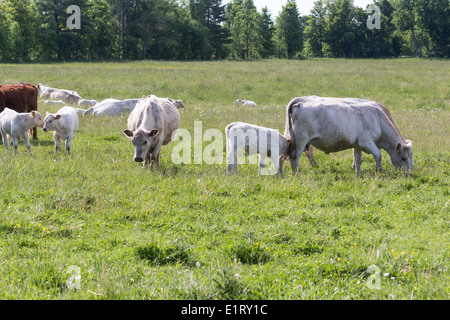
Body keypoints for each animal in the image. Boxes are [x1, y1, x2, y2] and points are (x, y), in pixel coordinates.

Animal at [286, 95, 414, 174]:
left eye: (410, 157)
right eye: (403, 158)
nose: (409, 173)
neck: (378, 119)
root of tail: (300, 101)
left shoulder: (357, 144)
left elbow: (358, 159)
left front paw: (358, 173)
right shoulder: (366, 141)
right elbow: (378, 155)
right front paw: (379, 171)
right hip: (301, 141)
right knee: (295, 156)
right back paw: (295, 173)